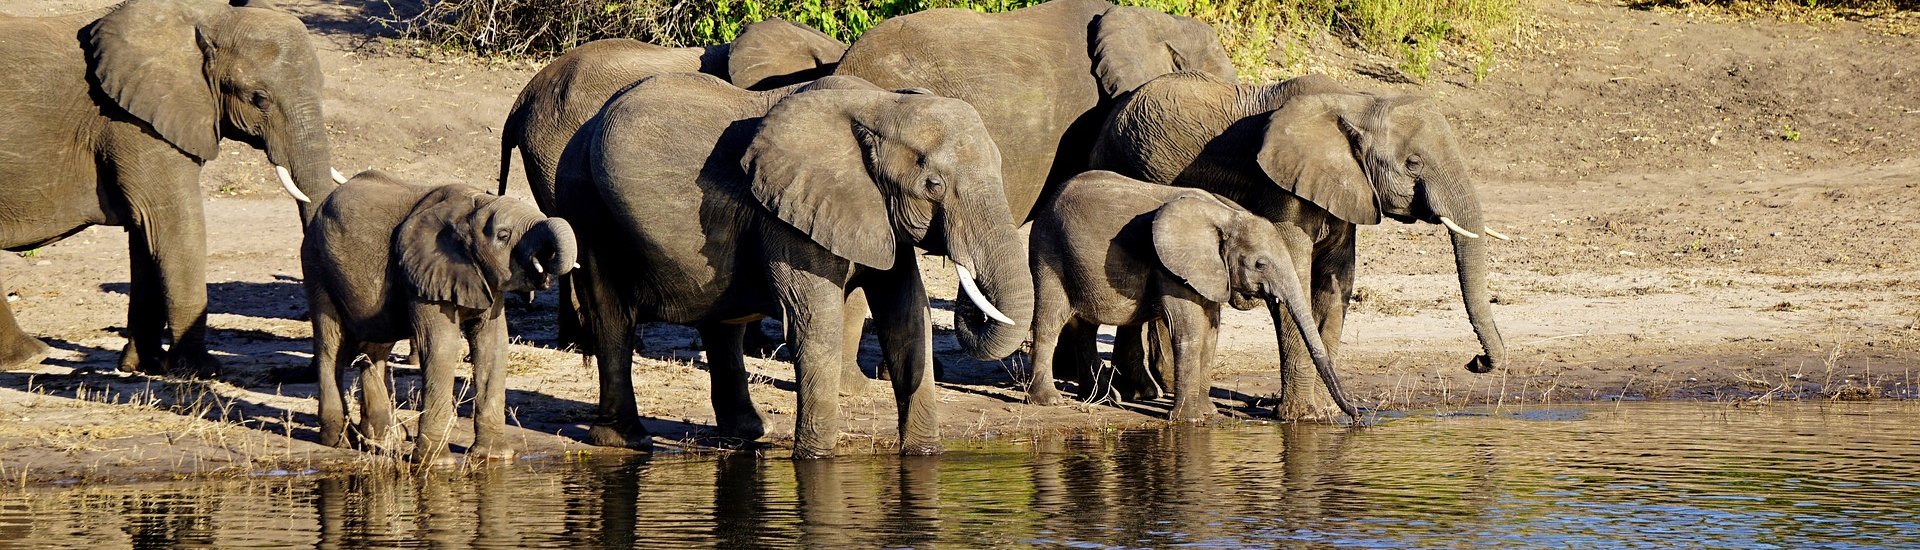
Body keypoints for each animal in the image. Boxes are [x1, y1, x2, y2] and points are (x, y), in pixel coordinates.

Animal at [0, 0, 341, 376]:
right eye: (260, 99)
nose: (302, 373)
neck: (206, 19)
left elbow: (146, 235)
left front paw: (143, 366)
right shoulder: (132, 124)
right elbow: (175, 224)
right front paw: (200, 370)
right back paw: (31, 356)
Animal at [301, 170, 576, 461]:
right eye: (503, 235)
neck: (473, 206)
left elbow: (493, 346)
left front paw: (495, 457)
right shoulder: (423, 271)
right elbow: (440, 345)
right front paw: (436, 462)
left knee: (375, 347)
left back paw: (385, 438)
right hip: (317, 265)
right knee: (332, 344)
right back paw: (340, 440)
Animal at [556, 74, 1036, 459]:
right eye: (933, 186)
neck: (879, 104)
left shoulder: (875, 213)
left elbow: (906, 319)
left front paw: (925, 456)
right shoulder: (787, 215)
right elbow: (815, 324)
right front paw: (816, 461)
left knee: (721, 323)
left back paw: (750, 432)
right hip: (585, 206)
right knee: (613, 317)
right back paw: (625, 441)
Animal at [1029, 172, 1359, 421]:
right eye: (1260, 264)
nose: (1357, 415)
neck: (1227, 216)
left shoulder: (1211, 270)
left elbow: (1211, 331)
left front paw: (1208, 414)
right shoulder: (1169, 265)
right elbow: (1190, 329)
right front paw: (1189, 420)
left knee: (1083, 326)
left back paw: (1103, 398)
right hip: (1048, 249)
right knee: (1051, 320)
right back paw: (1050, 401)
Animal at [1090, 70, 1505, 419]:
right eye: (1414, 163)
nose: (1476, 362)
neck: (1358, 103)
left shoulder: (1344, 189)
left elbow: (1335, 287)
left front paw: (1327, 413)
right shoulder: (1279, 187)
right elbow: (1297, 284)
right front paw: (1304, 417)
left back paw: (1144, 392)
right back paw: (1136, 393)